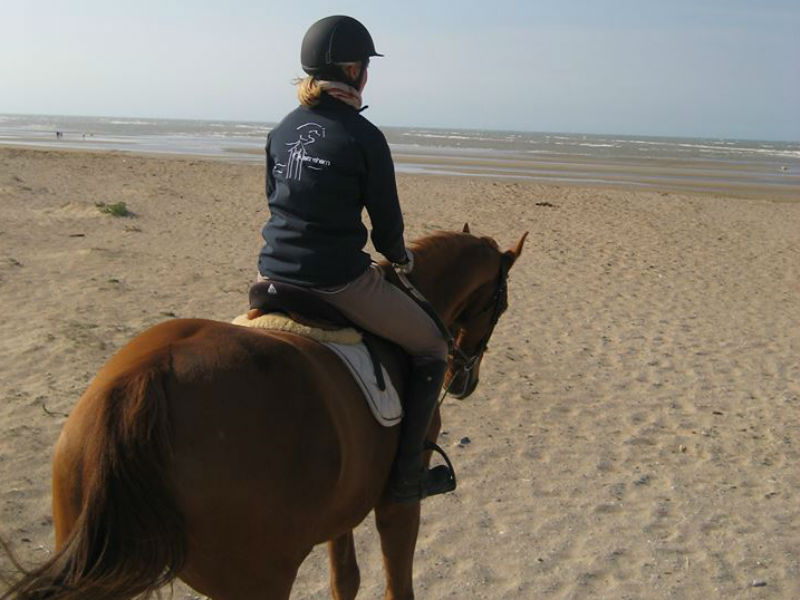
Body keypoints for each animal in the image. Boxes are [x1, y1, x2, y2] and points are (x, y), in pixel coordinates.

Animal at [3, 226, 528, 600]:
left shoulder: (344, 506)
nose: (463, 381)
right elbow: (398, 587)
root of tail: (139, 383)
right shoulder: (398, 504)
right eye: (501, 305)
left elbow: (346, 581)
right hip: (258, 580)